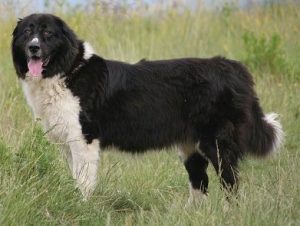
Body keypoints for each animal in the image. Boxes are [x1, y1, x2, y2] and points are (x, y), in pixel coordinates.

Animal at [11, 13, 284, 201]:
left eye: (48, 34)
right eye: (27, 33)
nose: (33, 47)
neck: (66, 72)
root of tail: (234, 68)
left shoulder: (84, 140)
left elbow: (84, 181)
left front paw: (82, 206)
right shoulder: (67, 143)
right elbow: (75, 178)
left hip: (216, 143)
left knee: (230, 183)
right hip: (190, 145)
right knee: (200, 184)